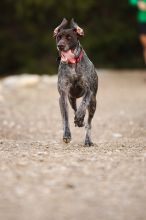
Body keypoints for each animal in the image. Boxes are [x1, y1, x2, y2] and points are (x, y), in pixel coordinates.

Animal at [53, 18, 98, 146]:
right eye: (58, 37)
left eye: (69, 37)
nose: (60, 46)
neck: (73, 64)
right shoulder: (63, 95)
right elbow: (66, 118)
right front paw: (67, 135)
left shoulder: (89, 91)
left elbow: (83, 103)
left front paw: (79, 117)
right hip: (71, 98)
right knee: (74, 109)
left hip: (93, 103)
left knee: (89, 123)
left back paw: (87, 139)